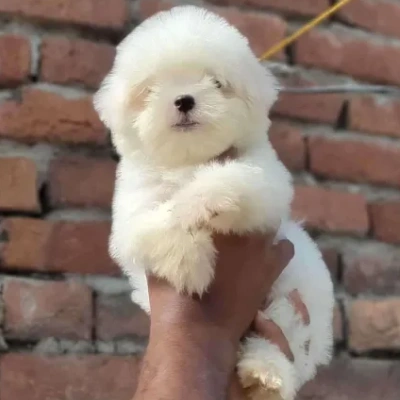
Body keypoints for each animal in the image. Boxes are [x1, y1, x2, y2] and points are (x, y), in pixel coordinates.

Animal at [94, 6, 334, 400]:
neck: (188, 162)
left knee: (280, 341)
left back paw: (265, 374)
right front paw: (189, 263)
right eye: (152, 89)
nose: (184, 99)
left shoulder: (265, 178)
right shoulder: (132, 211)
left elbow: (235, 179)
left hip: (292, 298)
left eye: (217, 84)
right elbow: (157, 222)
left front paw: (202, 200)